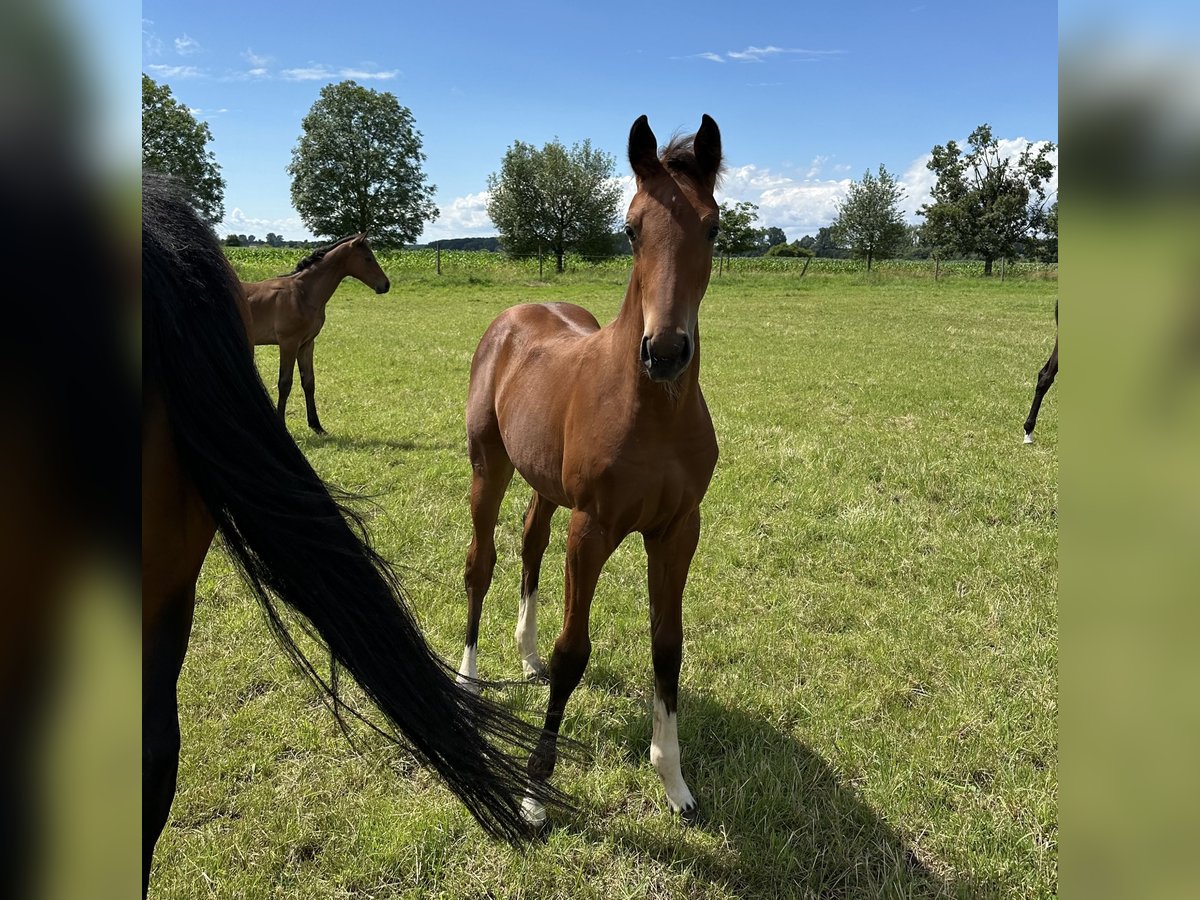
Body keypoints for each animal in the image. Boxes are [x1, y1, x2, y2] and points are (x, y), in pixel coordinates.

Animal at [241, 234, 391, 434]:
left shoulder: (306, 344)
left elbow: (309, 382)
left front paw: (316, 425)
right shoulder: (288, 343)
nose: (385, 285)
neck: (303, 294)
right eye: (368, 258)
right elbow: (285, 383)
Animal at [456, 114, 720, 830]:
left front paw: (675, 783)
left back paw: (525, 657)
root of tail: (516, 314)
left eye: (714, 227)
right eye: (630, 228)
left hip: (546, 486)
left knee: (529, 543)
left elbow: (668, 646)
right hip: (489, 468)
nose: (665, 351)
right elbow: (575, 652)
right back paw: (467, 679)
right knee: (481, 563)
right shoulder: (593, 527)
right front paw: (533, 791)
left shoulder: (677, 531)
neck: (652, 413)